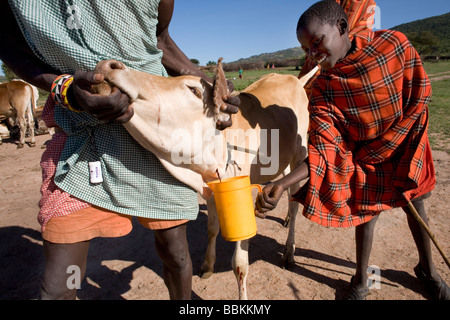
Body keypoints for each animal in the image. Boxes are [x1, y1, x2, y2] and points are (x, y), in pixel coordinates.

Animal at [91, 59, 316, 300]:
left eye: (195, 90)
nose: (108, 65)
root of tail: (295, 80)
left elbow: (239, 263)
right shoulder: (211, 189)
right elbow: (212, 228)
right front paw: (208, 266)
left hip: (300, 153)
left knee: (295, 203)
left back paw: (289, 250)